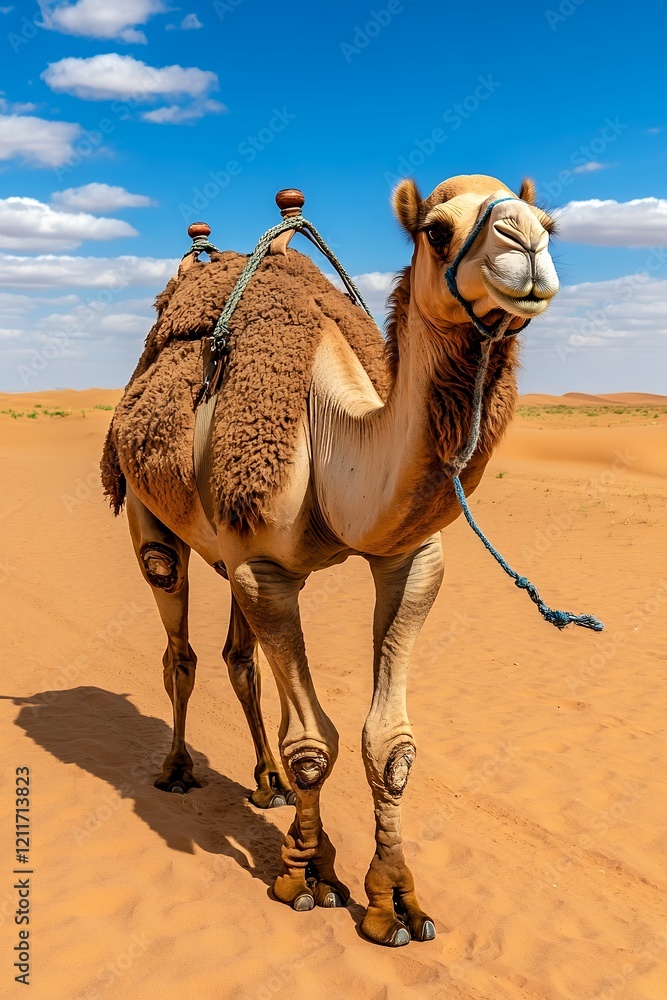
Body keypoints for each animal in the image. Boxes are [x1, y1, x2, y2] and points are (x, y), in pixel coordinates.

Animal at [101, 173, 559, 947]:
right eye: (436, 229)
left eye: (550, 222)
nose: (524, 244)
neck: (331, 431)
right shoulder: (264, 568)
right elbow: (315, 741)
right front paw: (307, 877)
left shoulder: (406, 559)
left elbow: (391, 746)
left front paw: (394, 902)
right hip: (148, 510)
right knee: (179, 648)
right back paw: (178, 769)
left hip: (228, 549)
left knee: (238, 660)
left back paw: (267, 783)